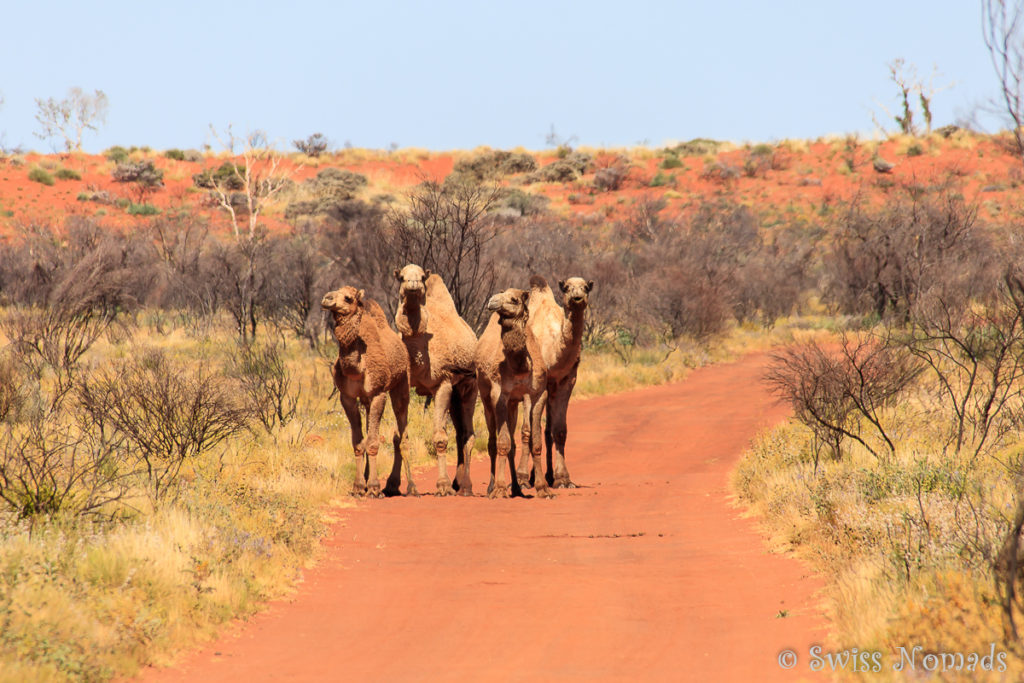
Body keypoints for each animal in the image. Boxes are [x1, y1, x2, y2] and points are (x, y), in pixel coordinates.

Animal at [321, 282, 413, 497]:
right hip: (367, 400)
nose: (327, 298)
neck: (358, 368)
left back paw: (412, 487)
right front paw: (358, 486)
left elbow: (372, 442)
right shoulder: (347, 397)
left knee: (402, 433)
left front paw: (373, 487)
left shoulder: (378, 393)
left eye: (348, 298)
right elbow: (358, 442)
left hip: (401, 384)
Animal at [395, 264, 483, 493]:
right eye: (401, 277)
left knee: (468, 433)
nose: (413, 284)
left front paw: (442, 485)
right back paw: (458, 482)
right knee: (460, 432)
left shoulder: (442, 383)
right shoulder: (402, 385)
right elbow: (402, 437)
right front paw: (409, 487)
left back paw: (466, 486)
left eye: (422, 276)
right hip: (456, 393)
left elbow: (440, 438)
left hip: (470, 385)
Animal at [473, 286, 552, 499]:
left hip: (514, 404)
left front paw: (543, 489)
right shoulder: (498, 394)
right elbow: (503, 443)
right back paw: (492, 486)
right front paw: (500, 489)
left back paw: (516, 488)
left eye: (515, 299)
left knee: (513, 445)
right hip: (485, 398)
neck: (521, 367)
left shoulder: (538, 394)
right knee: (493, 442)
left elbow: (535, 442)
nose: (492, 301)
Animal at [520, 274, 593, 489]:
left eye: (586, 288)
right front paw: (522, 479)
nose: (577, 298)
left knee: (546, 430)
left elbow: (559, 430)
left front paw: (563, 479)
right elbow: (527, 430)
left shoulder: (566, 380)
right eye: (567, 287)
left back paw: (547, 476)